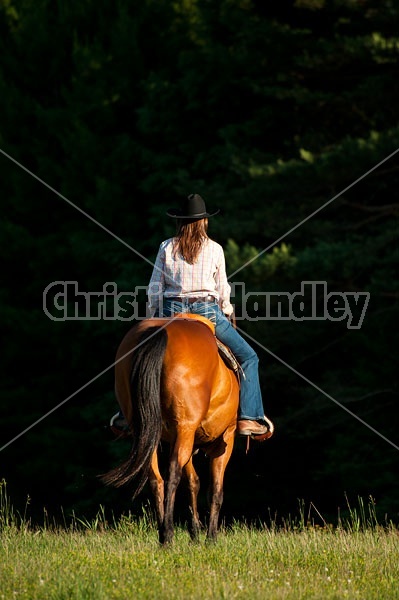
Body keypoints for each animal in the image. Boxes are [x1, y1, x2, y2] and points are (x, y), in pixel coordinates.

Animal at [101, 314, 242, 544]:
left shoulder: (188, 439)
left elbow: (193, 481)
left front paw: (195, 532)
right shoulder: (225, 438)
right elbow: (215, 489)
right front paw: (210, 538)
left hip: (150, 432)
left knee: (155, 477)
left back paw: (163, 534)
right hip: (185, 428)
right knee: (173, 473)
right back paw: (167, 534)